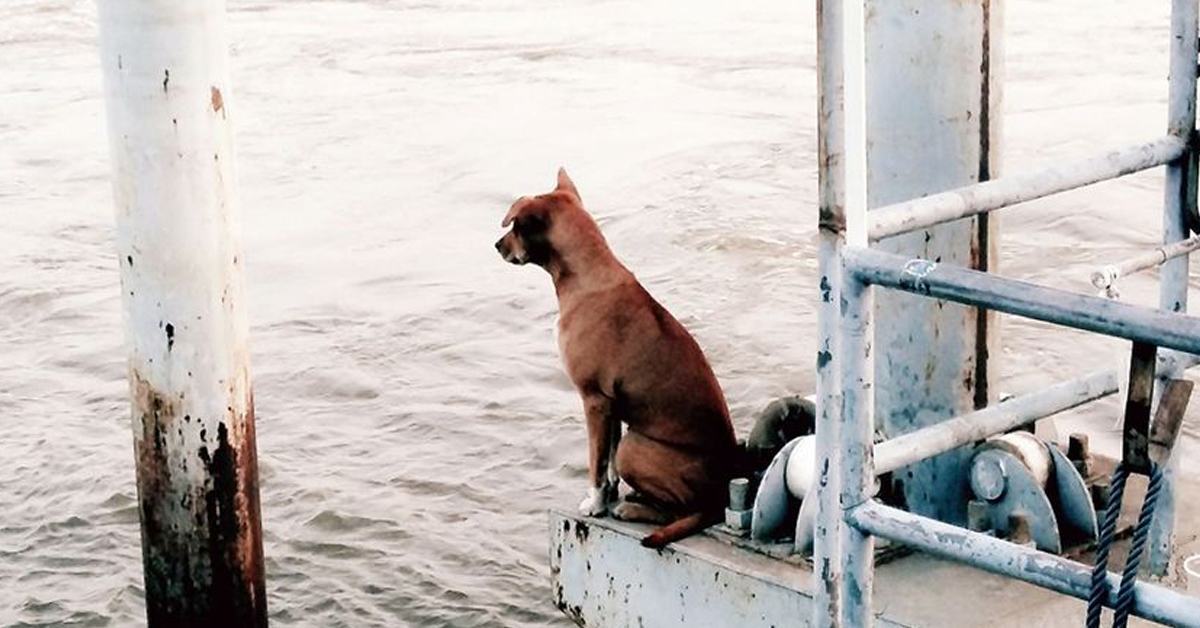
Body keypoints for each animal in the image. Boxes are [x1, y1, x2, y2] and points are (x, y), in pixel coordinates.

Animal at [492, 169, 734, 547]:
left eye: (515, 226)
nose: (497, 245)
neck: (583, 275)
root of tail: (719, 502)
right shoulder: (613, 406)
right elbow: (607, 470)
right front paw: (606, 497)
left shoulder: (594, 400)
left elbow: (596, 463)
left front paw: (594, 505)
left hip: (635, 447)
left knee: (678, 511)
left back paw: (633, 509)